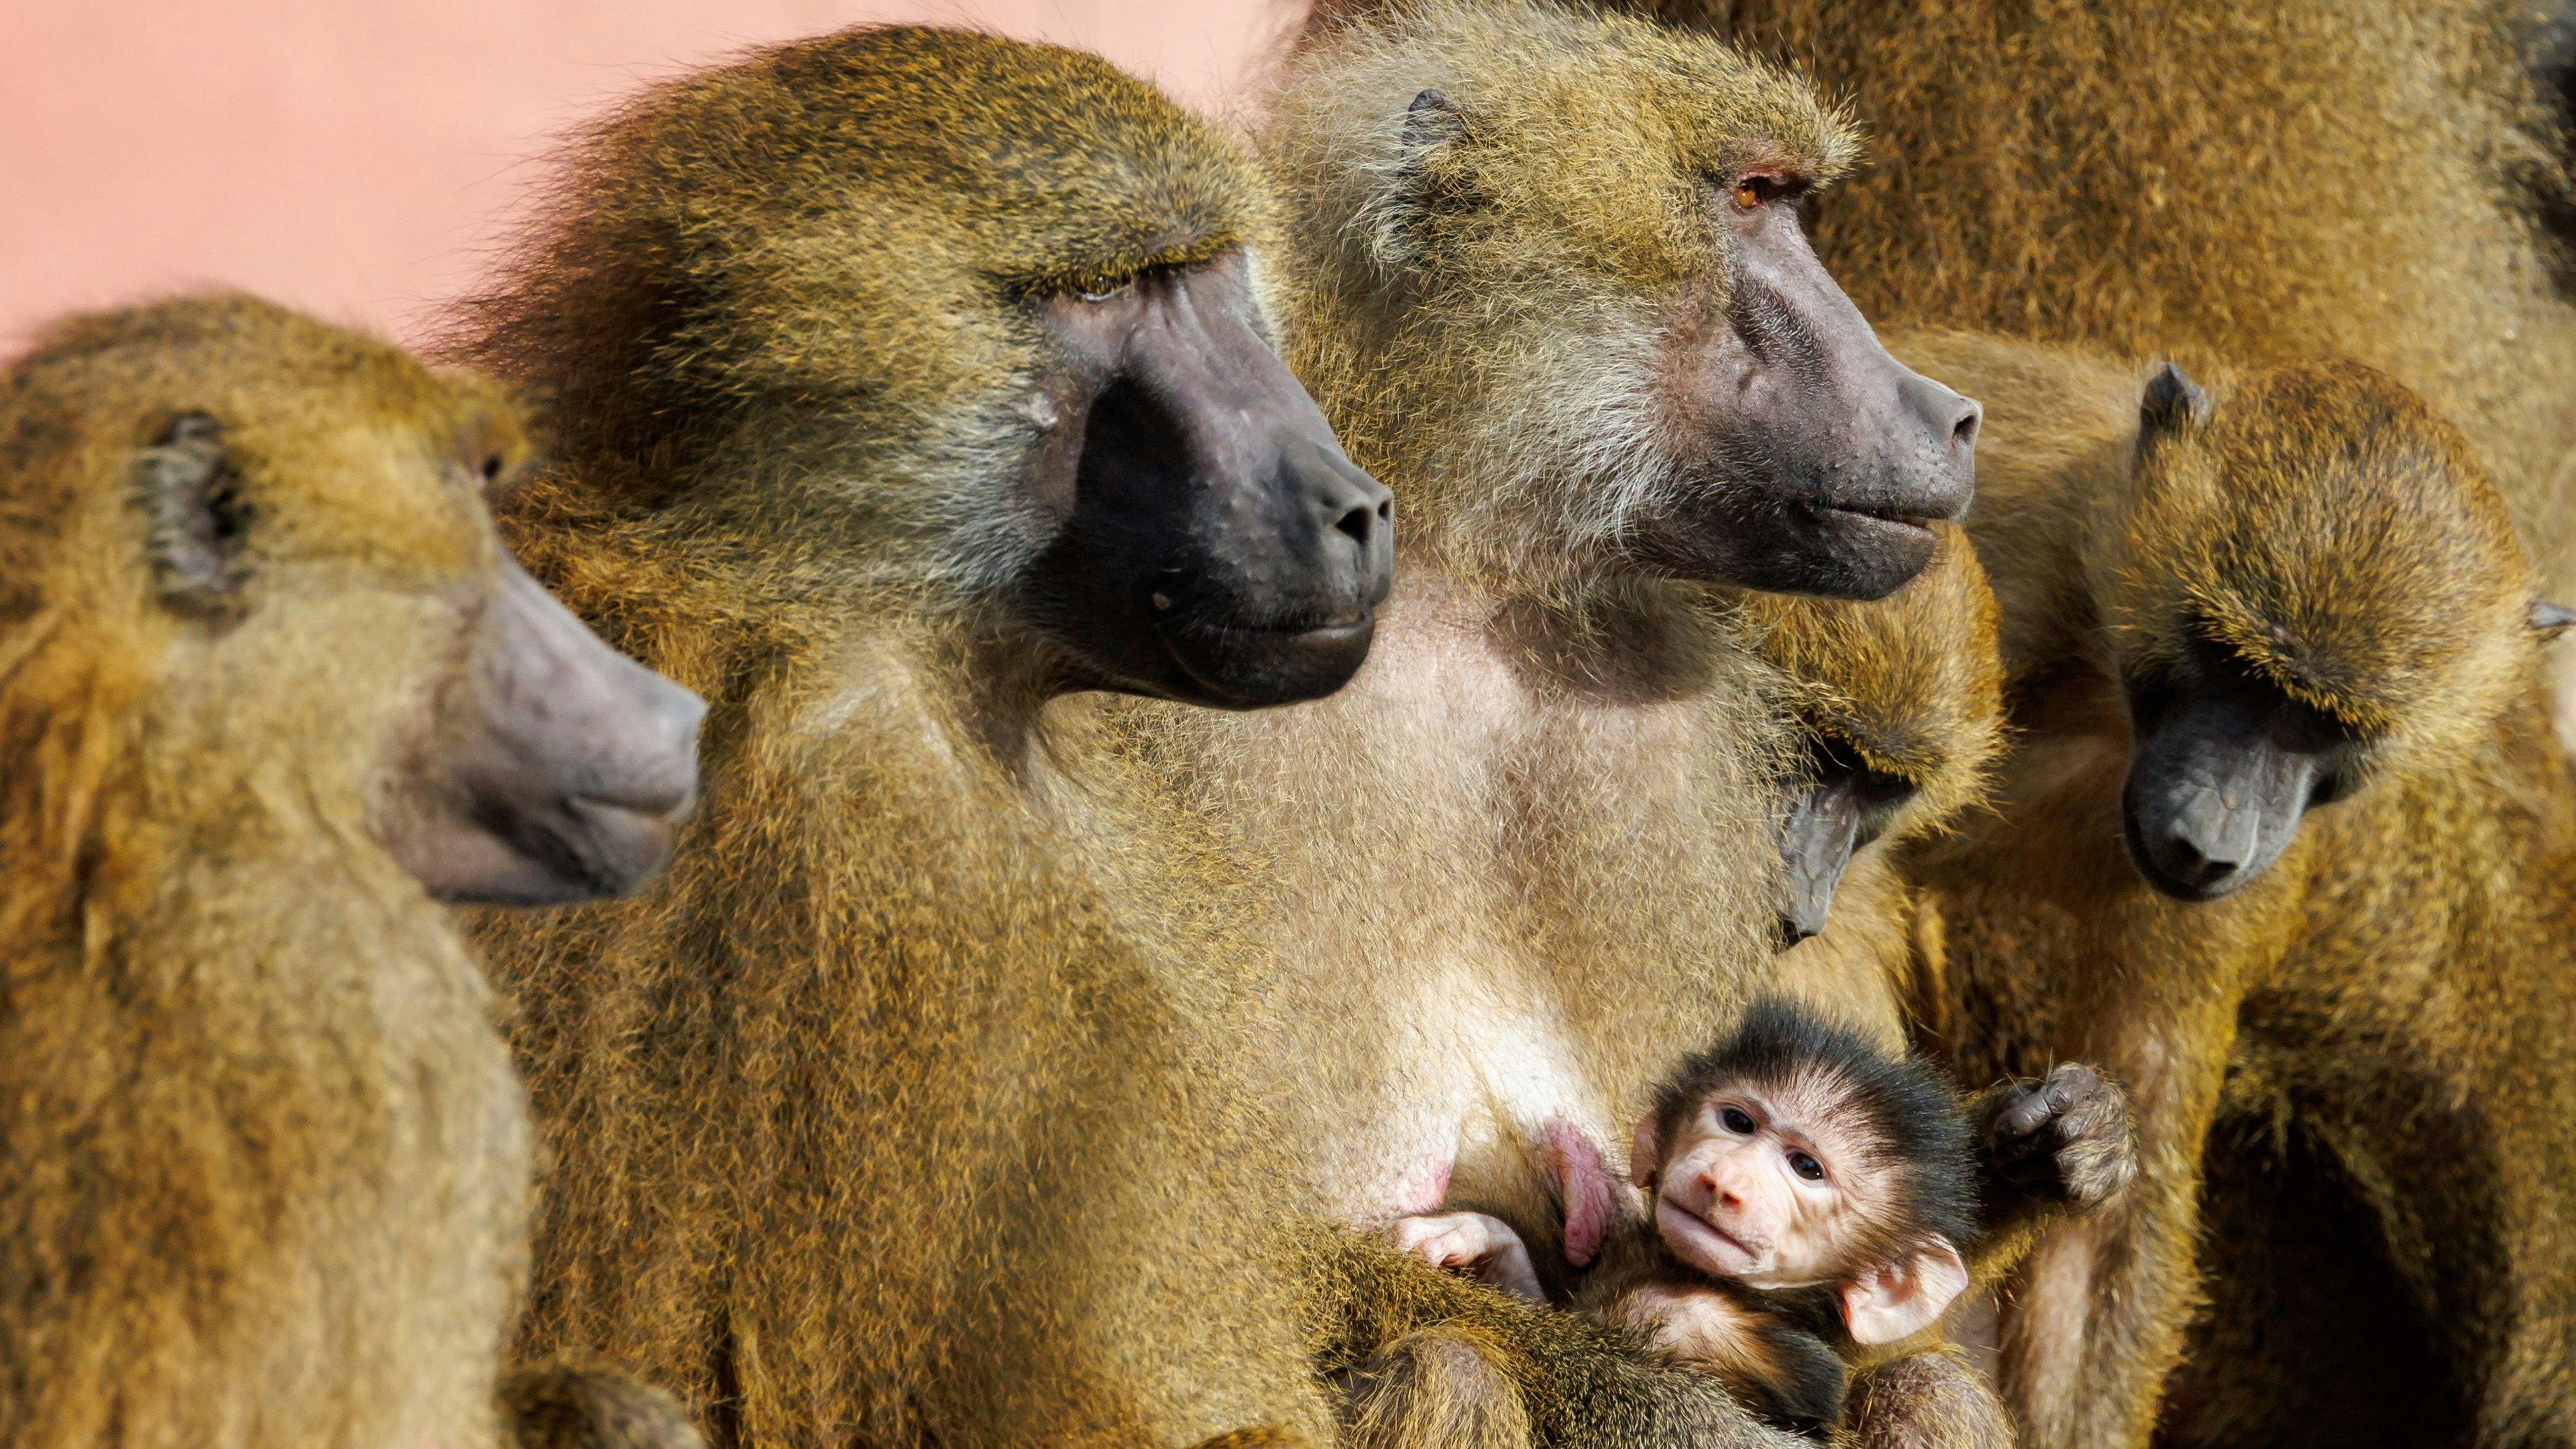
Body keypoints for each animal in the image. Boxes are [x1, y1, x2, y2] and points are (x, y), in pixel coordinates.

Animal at [1877, 327, 2576, 1449]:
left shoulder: (2256, 874)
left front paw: (2074, 1156)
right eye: (2231, 662)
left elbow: (2112, 1203)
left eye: (2323, 723)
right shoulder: (1982, 576)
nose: (2204, 834)